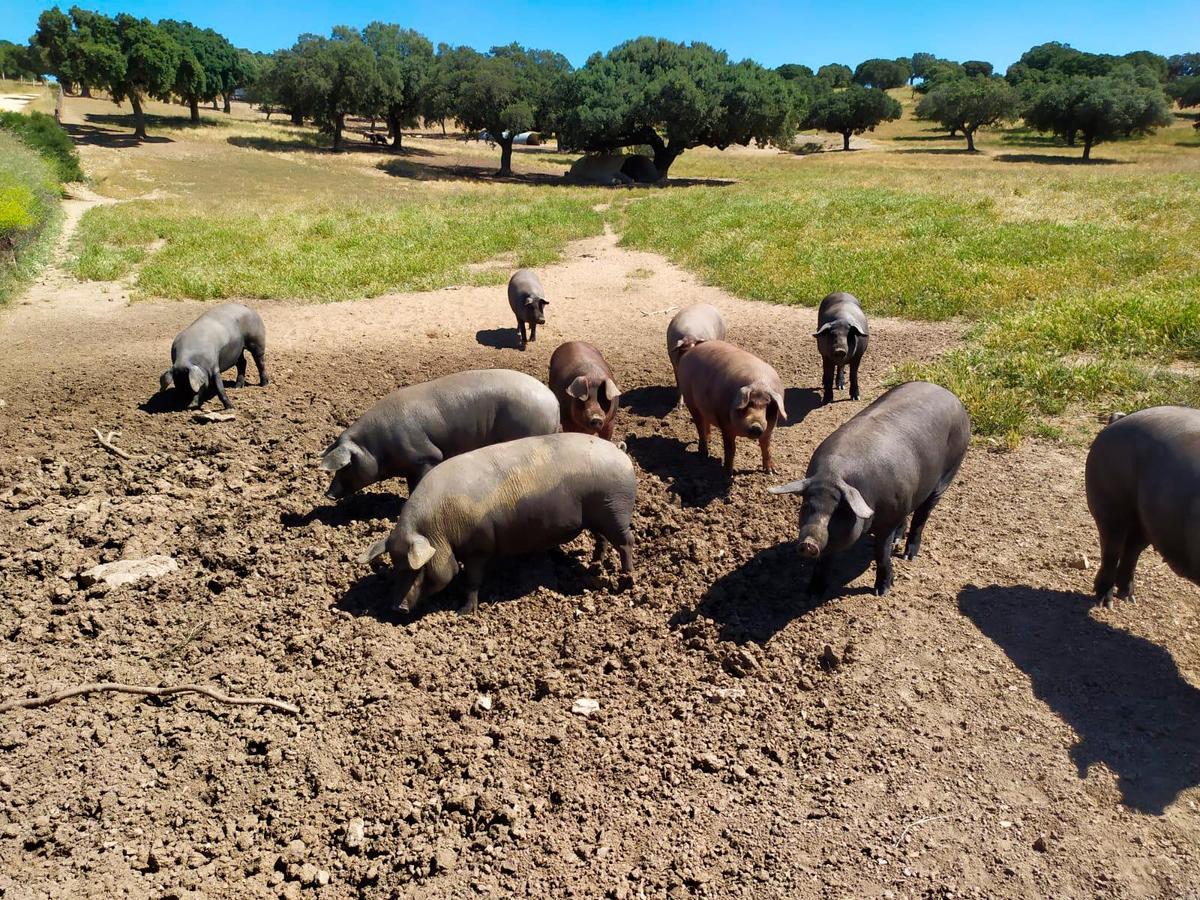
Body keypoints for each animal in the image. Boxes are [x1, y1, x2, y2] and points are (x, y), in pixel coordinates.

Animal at [360, 434, 638, 619]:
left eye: (416, 568)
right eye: (396, 565)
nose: (397, 608)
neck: (440, 529)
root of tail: (618, 450)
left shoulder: (478, 546)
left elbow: (472, 580)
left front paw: (463, 613)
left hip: (616, 510)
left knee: (627, 542)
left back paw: (627, 577)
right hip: (599, 516)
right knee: (603, 539)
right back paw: (595, 562)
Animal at [676, 340, 787, 480]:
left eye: (767, 406)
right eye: (748, 404)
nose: (756, 425)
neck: (759, 384)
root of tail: (691, 350)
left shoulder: (769, 428)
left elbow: (766, 446)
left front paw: (772, 472)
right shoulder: (725, 423)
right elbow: (730, 449)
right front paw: (728, 475)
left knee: (706, 423)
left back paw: (710, 440)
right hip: (690, 401)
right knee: (700, 426)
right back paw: (704, 454)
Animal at [768, 381, 974, 600]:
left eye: (839, 511)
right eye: (807, 505)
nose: (808, 543)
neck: (832, 476)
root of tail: (950, 395)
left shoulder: (887, 521)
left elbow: (881, 554)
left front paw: (881, 592)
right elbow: (824, 560)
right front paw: (813, 593)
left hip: (948, 473)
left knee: (921, 516)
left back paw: (908, 556)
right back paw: (897, 541)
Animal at [1084, 408, 1200, 607]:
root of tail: (1118, 420)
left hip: (1146, 521)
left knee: (1132, 549)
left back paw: (1128, 598)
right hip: (1109, 504)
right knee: (1111, 549)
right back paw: (1105, 603)